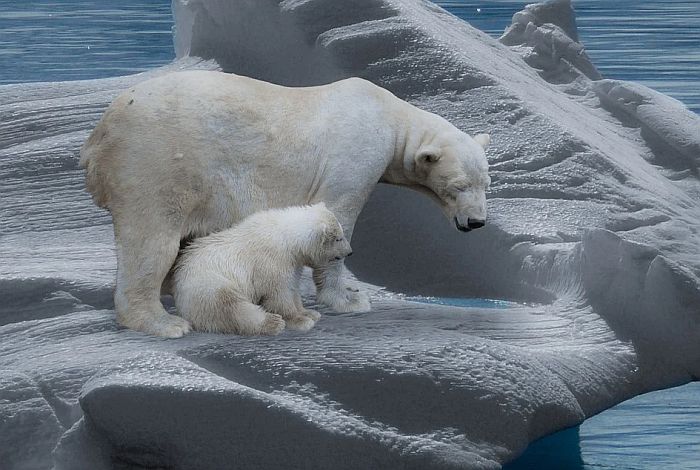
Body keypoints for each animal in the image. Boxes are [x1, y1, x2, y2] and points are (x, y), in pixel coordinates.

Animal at [173, 204, 352, 336]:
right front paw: (300, 321)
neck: (286, 237)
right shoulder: (272, 261)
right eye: (339, 238)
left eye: (342, 233)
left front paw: (309, 312)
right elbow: (278, 294)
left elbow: (293, 287)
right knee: (232, 307)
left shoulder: (292, 262)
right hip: (209, 284)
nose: (350, 252)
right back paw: (272, 322)